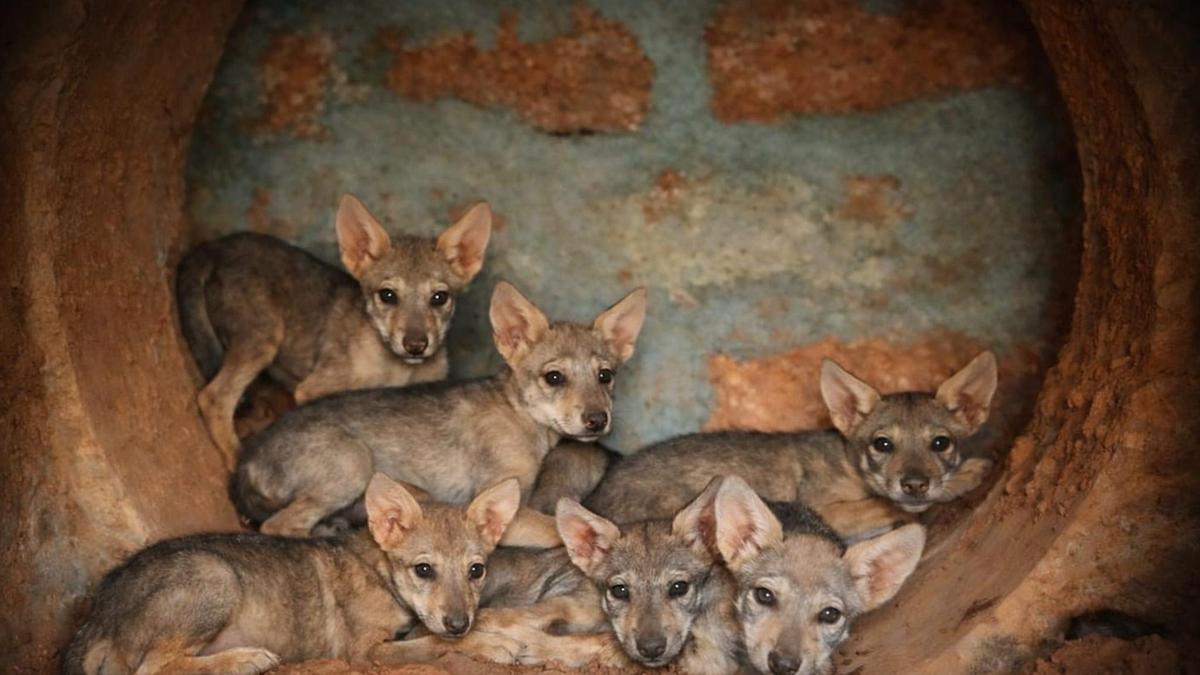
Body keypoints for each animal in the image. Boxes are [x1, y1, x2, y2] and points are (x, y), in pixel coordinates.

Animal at [61, 473, 520, 675]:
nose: (459, 622)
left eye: (476, 571)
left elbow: (432, 636)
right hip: (215, 577)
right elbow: (434, 645)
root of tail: (98, 614)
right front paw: (494, 646)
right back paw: (244, 659)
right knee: (154, 667)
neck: (379, 572)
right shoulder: (365, 652)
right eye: (424, 570)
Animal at [176, 194, 492, 469]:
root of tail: (213, 247)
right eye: (387, 295)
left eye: (439, 297)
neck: (396, 371)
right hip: (262, 340)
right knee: (213, 398)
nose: (415, 345)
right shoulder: (315, 390)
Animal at [232, 281, 647, 547]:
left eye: (605, 376)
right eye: (554, 377)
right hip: (353, 465)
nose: (598, 420)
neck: (521, 417)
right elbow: (556, 530)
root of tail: (245, 462)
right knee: (278, 525)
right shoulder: (505, 510)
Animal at [586, 352, 998, 541]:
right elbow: (887, 504)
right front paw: (966, 477)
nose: (915, 484)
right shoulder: (826, 509)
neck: (846, 463)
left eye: (940, 443)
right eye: (882, 444)